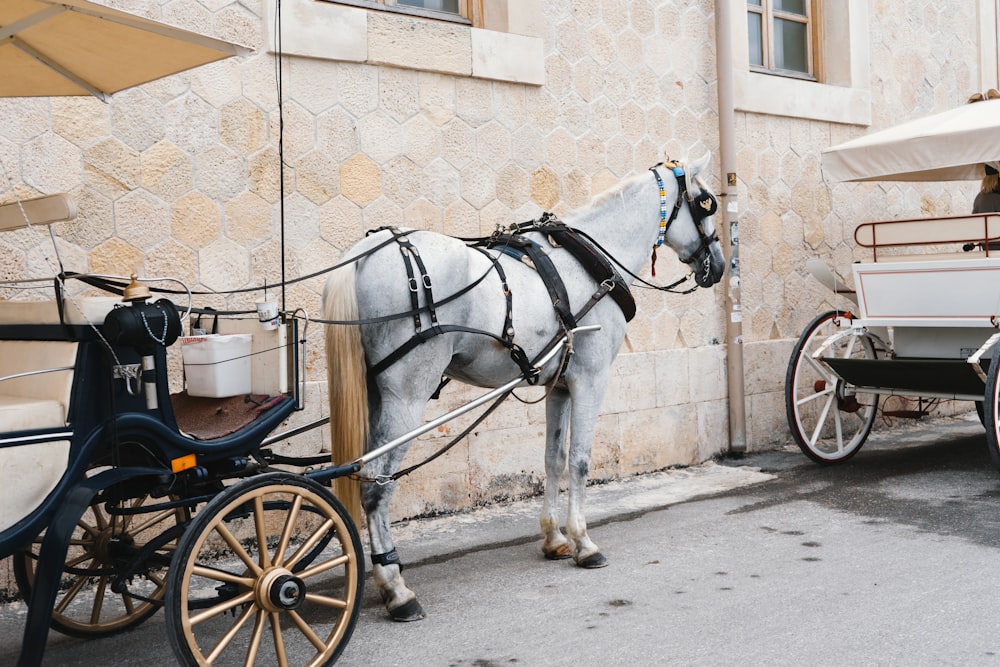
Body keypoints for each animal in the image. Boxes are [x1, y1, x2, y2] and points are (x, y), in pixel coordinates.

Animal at [324, 154, 724, 624]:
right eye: (706, 201)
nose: (719, 265)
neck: (591, 264)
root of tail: (363, 255)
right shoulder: (590, 380)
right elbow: (580, 462)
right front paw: (584, 543)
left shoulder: (560, 386)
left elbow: (553, 459)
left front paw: (555, 539)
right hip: (406, 397)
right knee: (376, 485)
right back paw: (396, 588)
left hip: (374, 394)